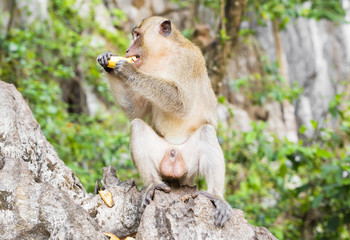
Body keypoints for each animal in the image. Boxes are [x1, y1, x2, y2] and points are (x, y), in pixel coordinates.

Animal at [95, 15, 232, 226]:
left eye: (137, 36)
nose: (127, 50)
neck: (165, 56)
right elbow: (136, 111)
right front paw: (106, 61)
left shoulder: (189, 61)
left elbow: (181, 103)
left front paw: (127, 70)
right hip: (162, 155)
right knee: (137, 126)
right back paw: (153, 185)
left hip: (190, 164)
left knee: (207, 132)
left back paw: (216, 196)